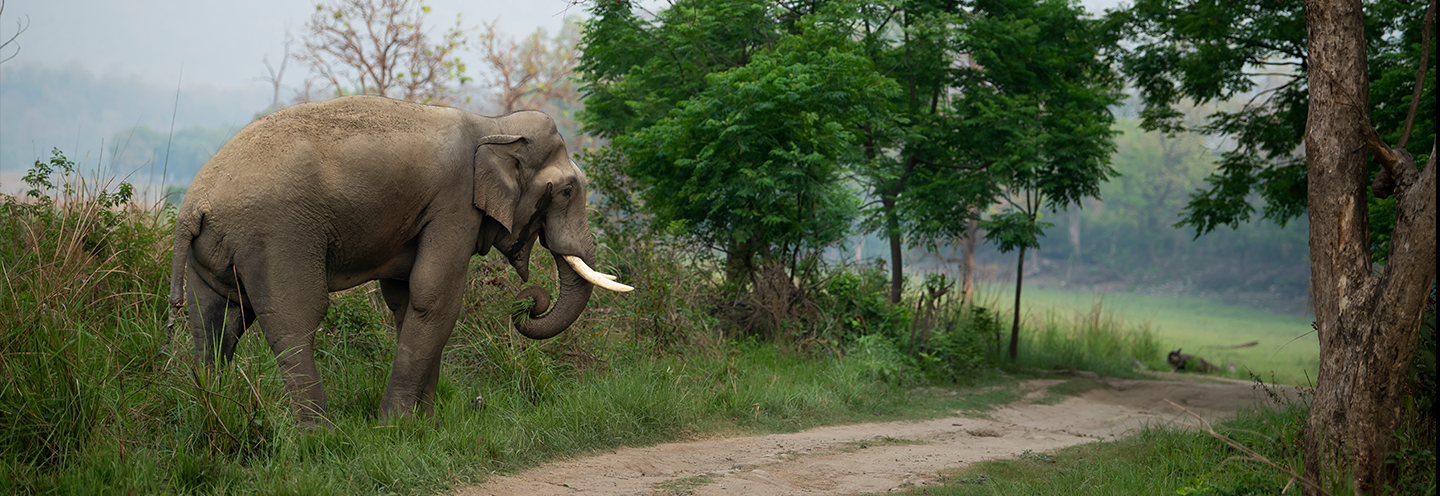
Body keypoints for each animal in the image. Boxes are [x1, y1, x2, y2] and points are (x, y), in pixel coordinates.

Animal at [166, 95, 631, 421]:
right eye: (567, 190)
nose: (528, 303)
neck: (493, 124)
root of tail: (192, 207)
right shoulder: (454, 204)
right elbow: (437, 297)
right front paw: (395, 426)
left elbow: (408, 300)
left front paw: (423, 426)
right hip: (276, 235)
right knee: (294, 319)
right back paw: (317, 434)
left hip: (214, 252)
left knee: (215, 324)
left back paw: (214, 414)